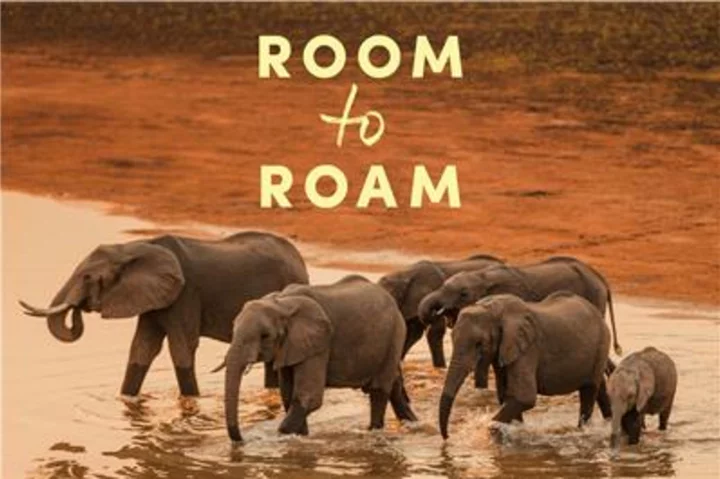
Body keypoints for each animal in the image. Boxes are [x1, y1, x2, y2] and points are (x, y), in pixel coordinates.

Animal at [19, 231, 309, 397]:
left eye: (89, 278)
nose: (80, 307)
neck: (132, 248)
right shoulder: (153, 298)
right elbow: (142, 347)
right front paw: (127, 400)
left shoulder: (185, 294)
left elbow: (182, 347)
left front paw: (191, 402)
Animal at [223, 274, 418, 442]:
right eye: (233, 327)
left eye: (265, 336)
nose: (241, 440)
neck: (281, 303)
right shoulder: (290, 346)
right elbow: (288, 395)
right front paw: (301, 436)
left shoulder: (320, 344)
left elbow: (309, 397)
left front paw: (280, 438)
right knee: (394, 385)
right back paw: (412, 423)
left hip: (395, 333)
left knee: (379, 390)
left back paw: (374, 431)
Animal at [439, 292, 612, 439]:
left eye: (479, 344)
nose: (447, 437)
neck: (493, 309)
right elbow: (507, 396)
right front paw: (516, 430)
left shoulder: (527, 349)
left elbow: (524, 397)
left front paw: (493, 431)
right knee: (600, 387)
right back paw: (608, 423)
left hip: (602, 343)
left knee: (589, 391)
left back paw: (583, 430)